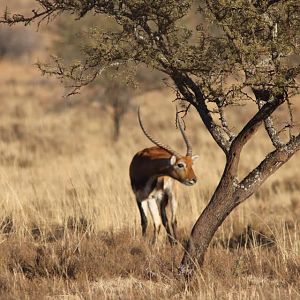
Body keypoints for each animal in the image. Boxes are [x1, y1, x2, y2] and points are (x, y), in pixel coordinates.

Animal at [129, 108, 198, 244]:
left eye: (191, 163)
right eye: (180, 164)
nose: (193, 180)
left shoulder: (155, 196)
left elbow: (158, 222)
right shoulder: (140, 197)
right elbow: (146, 221)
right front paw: (147, 243)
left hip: (170, 194)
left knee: (171, 220)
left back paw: (174, 243)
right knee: (164, 220)